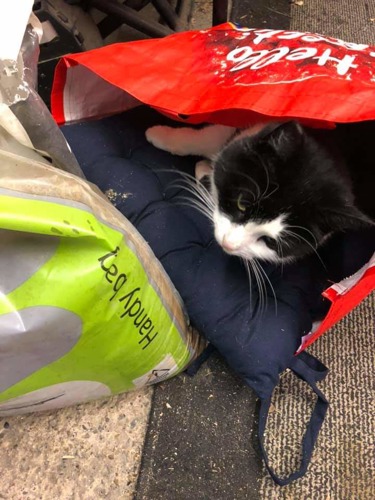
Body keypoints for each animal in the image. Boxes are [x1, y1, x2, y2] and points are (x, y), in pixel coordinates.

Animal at [146, 120, 374, 266]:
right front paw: (158, 135)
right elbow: (212, 137)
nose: (228, 244)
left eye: (270, 242)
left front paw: (205, 172)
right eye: (242, 204)